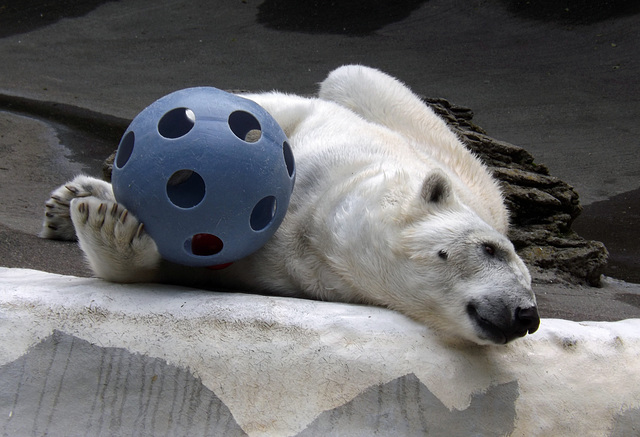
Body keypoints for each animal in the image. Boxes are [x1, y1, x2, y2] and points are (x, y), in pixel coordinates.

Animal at [41, 64, 540, 344]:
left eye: (529, 279)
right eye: (491, 250)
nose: (527, 315)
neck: (322, 227)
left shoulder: (275, 273)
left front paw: (106, 225)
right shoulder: (339, 145)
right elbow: (274, 110)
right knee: (350, 74)